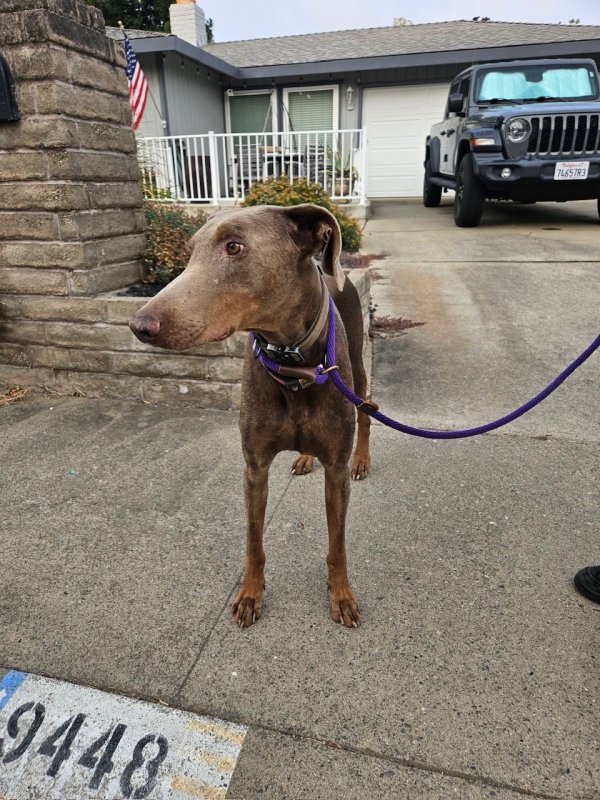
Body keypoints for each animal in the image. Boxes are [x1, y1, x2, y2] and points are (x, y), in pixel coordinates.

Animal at [131, 203, 372, 628]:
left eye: (234, 246)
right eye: (189, 252)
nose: (140, 325)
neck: (292, 365)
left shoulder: (336, 472)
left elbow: (337, 544)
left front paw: (341, 594)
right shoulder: (254, 467)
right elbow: (253, 541)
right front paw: (250, 594)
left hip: (356, 371)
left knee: (368, 413)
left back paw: (363, 459)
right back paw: (304, 457)